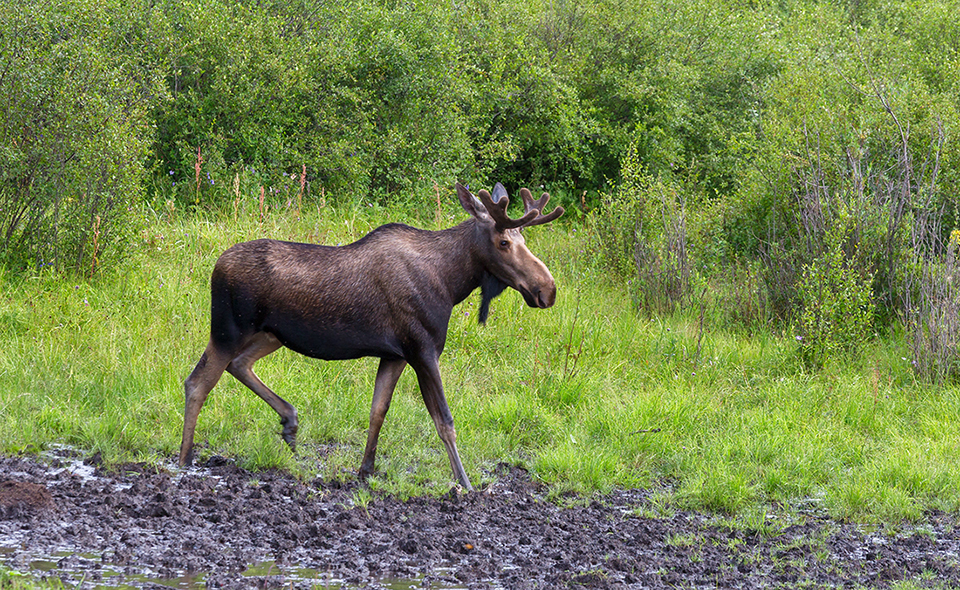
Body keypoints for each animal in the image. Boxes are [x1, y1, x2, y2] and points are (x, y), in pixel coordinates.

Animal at [180, 183, 564, 492]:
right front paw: (465, 483)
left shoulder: (395, 354)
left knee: (239, 364)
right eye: (504, 241)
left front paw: (365, 471)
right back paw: (184, 460)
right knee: (198, 382)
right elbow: (445, 421)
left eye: (524, 239)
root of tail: (216, 267)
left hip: (270, 334)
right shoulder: (423, 349)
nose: (547, 290)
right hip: (228, 329)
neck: (451, 282)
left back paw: (289, 421)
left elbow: (378, 410)